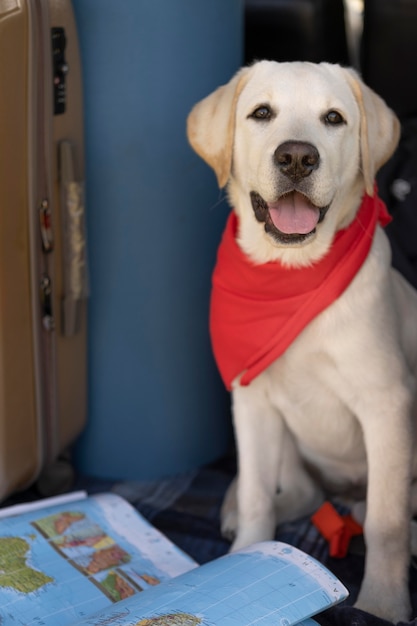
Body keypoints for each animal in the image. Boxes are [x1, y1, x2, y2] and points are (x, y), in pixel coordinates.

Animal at [187, 59, 416, 620]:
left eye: (333, 118)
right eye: (261, 113)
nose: (296, 156)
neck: (291, 274)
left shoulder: (388, 403)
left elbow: (387, 522)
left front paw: (381, 604)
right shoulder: (252, 400)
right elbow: (256, 494)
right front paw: (247, 557)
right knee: (300, 493)